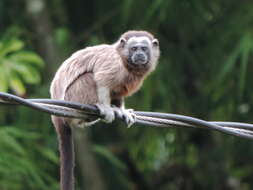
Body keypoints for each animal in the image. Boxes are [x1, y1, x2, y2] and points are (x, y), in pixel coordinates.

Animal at [49, 30, 160, 190]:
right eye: (134, 49)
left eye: (144, 49)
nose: (139, 54)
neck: (124, 61)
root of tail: (57, 118)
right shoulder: (113, 63)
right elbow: (101, 80)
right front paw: (107, 107)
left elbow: (118, 92)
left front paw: (121, 109)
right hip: (73, 96)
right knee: (90, 77)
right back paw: (99, 105)